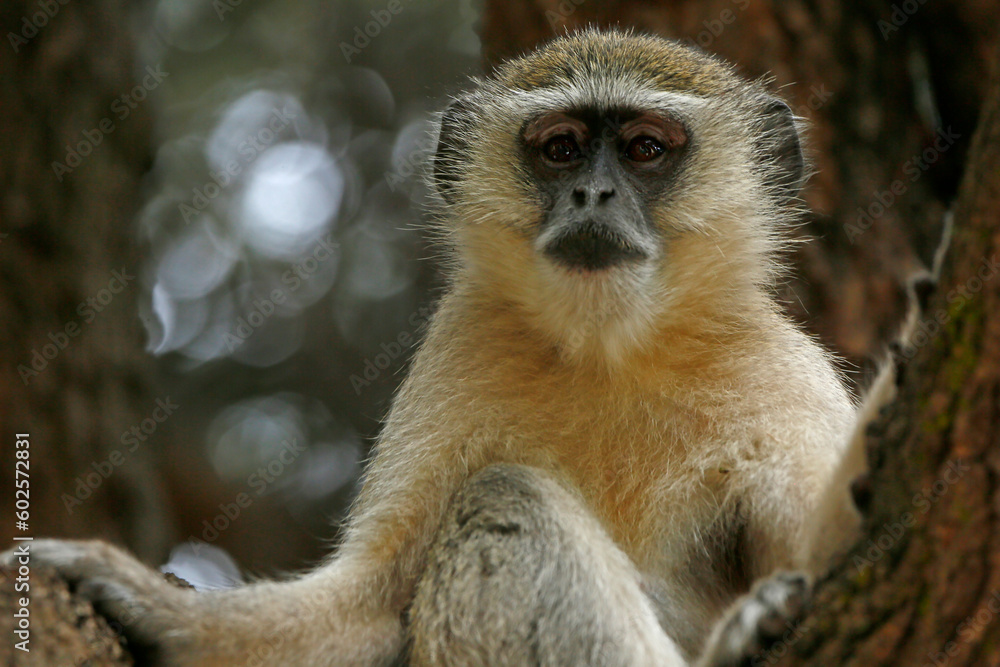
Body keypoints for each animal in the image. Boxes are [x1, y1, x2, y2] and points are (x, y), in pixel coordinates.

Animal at [6, 28, 887, 666]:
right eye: (560, 148)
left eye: (645, 148)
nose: (592, 194)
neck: (608, 350)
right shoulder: (461, 345)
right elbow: (366, 606)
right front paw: (157, 607)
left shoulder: (777, 370)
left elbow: (821, 544)